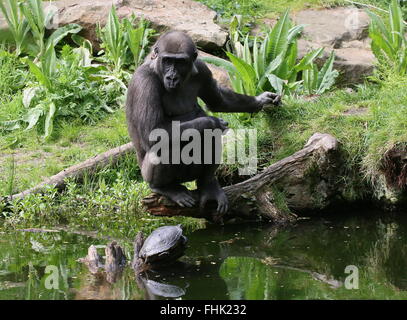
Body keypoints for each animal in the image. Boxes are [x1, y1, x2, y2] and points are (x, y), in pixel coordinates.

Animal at [126, 30, 282, 215]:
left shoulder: (202, 69)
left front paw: (261, 100)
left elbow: (218, 101)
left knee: (206, 142)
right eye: (167, 60)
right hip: (147, 175)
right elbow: (153, 133)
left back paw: (208, 184)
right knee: (166, 147)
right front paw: (212, 121)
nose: (172, 77)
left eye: (180, 62)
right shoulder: (144, 81)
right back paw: (165, 188)